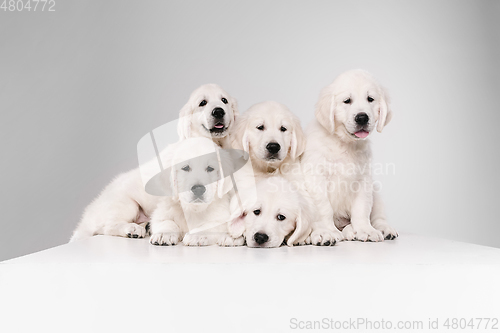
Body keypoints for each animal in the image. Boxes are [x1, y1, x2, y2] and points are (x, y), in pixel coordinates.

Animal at [300, 68, 398, 244]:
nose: (362, 117)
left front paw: (365, 230)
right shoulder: (316, 178)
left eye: (370, 99)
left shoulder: (363, 180)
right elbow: (324, 208)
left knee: (378, 216)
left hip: (375, 192)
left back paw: (382, 229)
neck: (344, 143)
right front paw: (327, 231)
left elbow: (362, 209)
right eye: (347, 101)